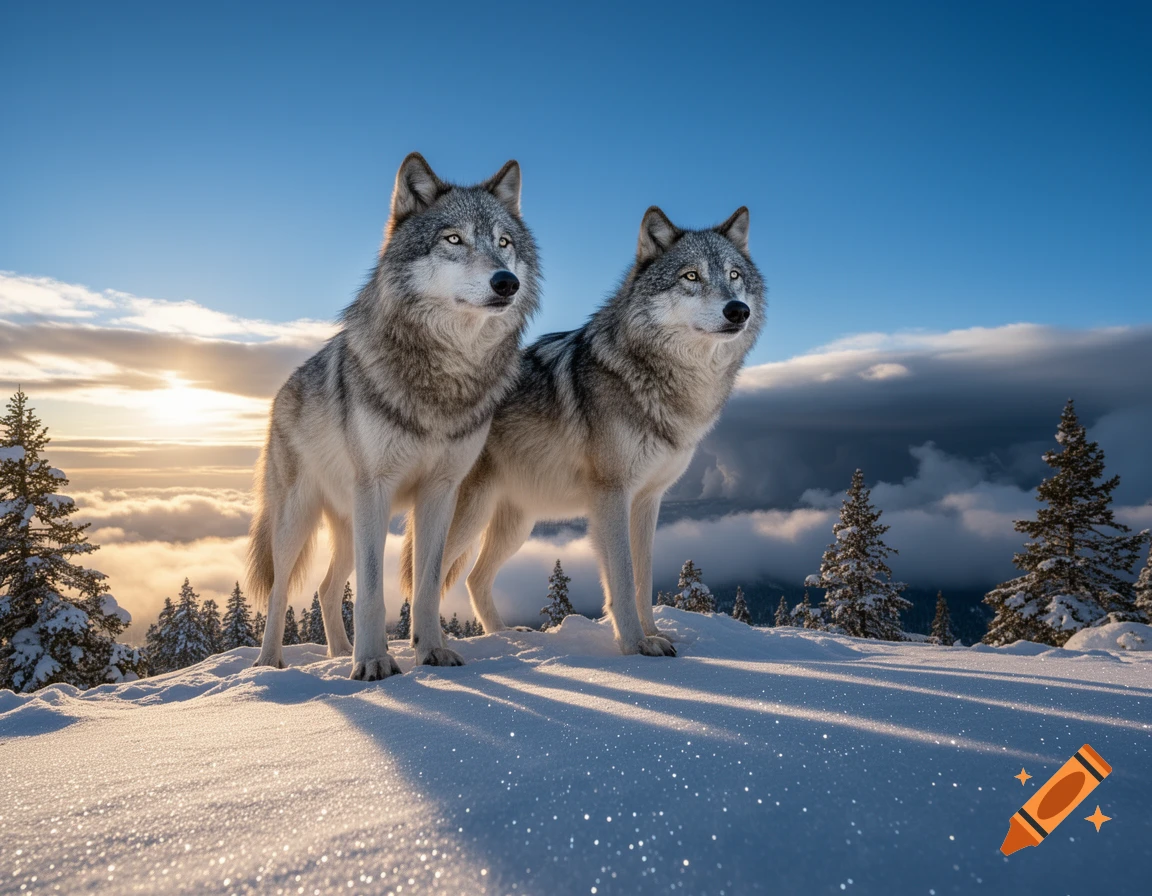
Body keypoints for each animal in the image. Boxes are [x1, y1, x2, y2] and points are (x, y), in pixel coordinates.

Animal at [247, 152, 539, 679]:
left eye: (504, 243)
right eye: (453, 239)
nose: (507, 282)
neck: (445, 377)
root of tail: (282, 391)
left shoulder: (441, 492)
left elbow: (426, 584)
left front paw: (431, 652)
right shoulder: (377, 489)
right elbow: (370, 592)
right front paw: (372, 663)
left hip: (348, 523)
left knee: (325, 588)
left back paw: (336, 653)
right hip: (299, 519)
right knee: (281, 590)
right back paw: (270, 664)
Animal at [401, 205, 764, 657]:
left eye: (734, 275)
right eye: (691, 276)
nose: (738, 310)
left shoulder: (648, 501)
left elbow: (643, 578)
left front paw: (655, 634)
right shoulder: (611, 495)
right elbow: (622, 578)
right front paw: (635, 644)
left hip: (516, 525)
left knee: (474, 578)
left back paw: (506, 637)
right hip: (468, 516)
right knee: (426, 577)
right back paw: (429, 645)